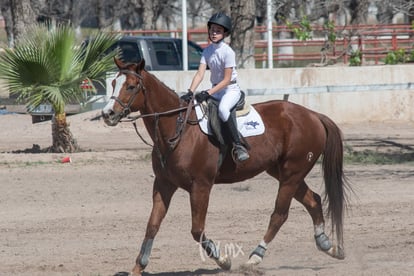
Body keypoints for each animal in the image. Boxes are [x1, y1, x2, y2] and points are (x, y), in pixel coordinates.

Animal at [101, 57, 350, 274]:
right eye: (113, 84)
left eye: (131, 86)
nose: (107, 114)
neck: (178, 129)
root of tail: (312, 114)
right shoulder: (163, 184)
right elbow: (152, 225)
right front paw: (138, 267)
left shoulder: (201, 186)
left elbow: (197, 230)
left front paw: (224, 261)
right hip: (283, 172)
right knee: (313, 200)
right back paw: (329, 246)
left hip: (292, 173)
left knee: (279, 214)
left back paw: (255, 257)